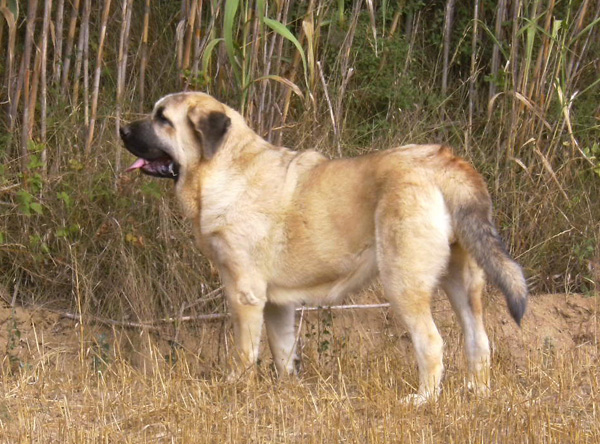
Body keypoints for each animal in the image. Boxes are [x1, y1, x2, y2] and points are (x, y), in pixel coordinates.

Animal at [119, 92, 528, 404]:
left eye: (162, 119)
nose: (121, 129)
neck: (224, 168)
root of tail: (444, 162)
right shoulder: (277, 304)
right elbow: (283, 352)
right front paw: (288, 391)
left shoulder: (244, 294)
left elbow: (245, 351)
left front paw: (236, 387)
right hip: (463, 281)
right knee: (478, 340)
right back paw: (478, 393)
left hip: (403, 283)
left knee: (431, 343)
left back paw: (423, 399)